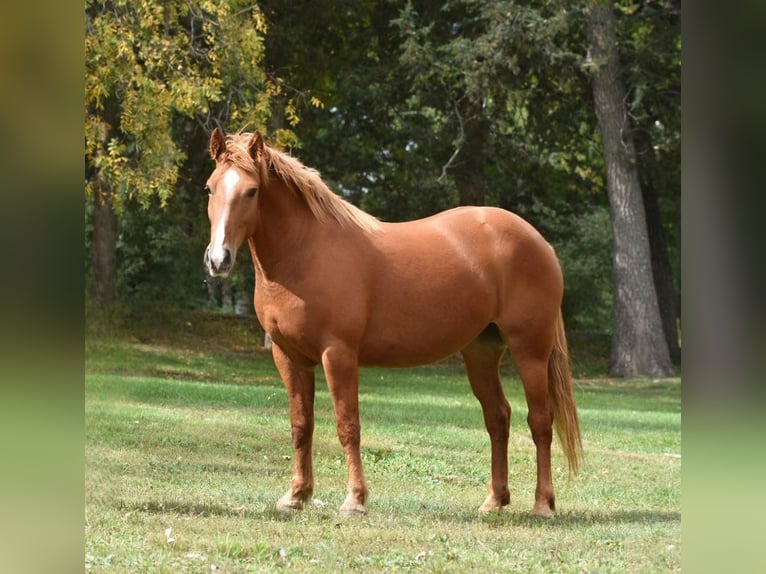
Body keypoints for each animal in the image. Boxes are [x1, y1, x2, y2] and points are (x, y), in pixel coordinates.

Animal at [202, 128, 584, 520]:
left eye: (252, 191)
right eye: (210, 188)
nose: (218, 259)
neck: (305, 253)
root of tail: (538, 241)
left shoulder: (338, 354)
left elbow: (347, 425)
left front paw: (355, 500)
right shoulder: (289, 356)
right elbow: (301, 426)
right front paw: (296, 496)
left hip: (530, 351)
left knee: (540, 421)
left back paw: (542, 504)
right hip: (481, 352)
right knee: (498, 417)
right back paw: (494, 500)